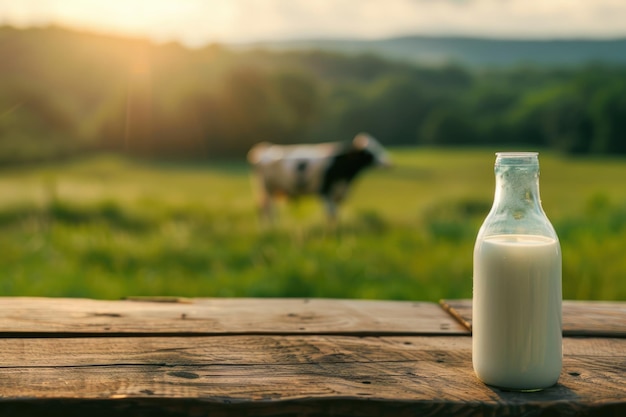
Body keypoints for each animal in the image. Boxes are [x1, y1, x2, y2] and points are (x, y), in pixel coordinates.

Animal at [245, 132, 388, 223]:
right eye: (369, 153)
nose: (387, 163)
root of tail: (264, 148)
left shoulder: (338, 194)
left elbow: (336, 215)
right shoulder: (323, 191)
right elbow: (331, 214)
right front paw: (331, 236)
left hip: (271, 191)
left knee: (269, 211)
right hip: (265, 190)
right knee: (266, 210)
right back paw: (268, 230)